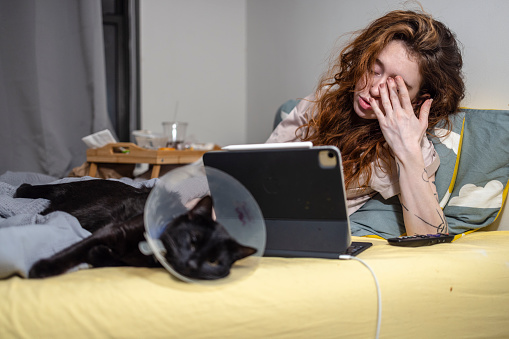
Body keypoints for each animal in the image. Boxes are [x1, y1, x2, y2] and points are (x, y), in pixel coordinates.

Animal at [14, 179, 256, 280]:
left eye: (213, 260)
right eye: (192, 240)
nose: (191, 264)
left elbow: (110, 258)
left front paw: (100, 254)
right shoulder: (111, 230)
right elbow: (73, 251)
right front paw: (43, 268)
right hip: (82, 207)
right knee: (41, 191)